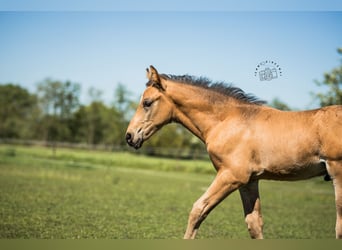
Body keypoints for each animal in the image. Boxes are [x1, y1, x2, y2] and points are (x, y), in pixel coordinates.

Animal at [125, 65, 342, 239]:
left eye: (147, 102)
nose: (129, 136)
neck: (227, 120)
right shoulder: (249, 181)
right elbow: (254, 224)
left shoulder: (231, 175)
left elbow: (198, 210)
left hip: (337, 173)